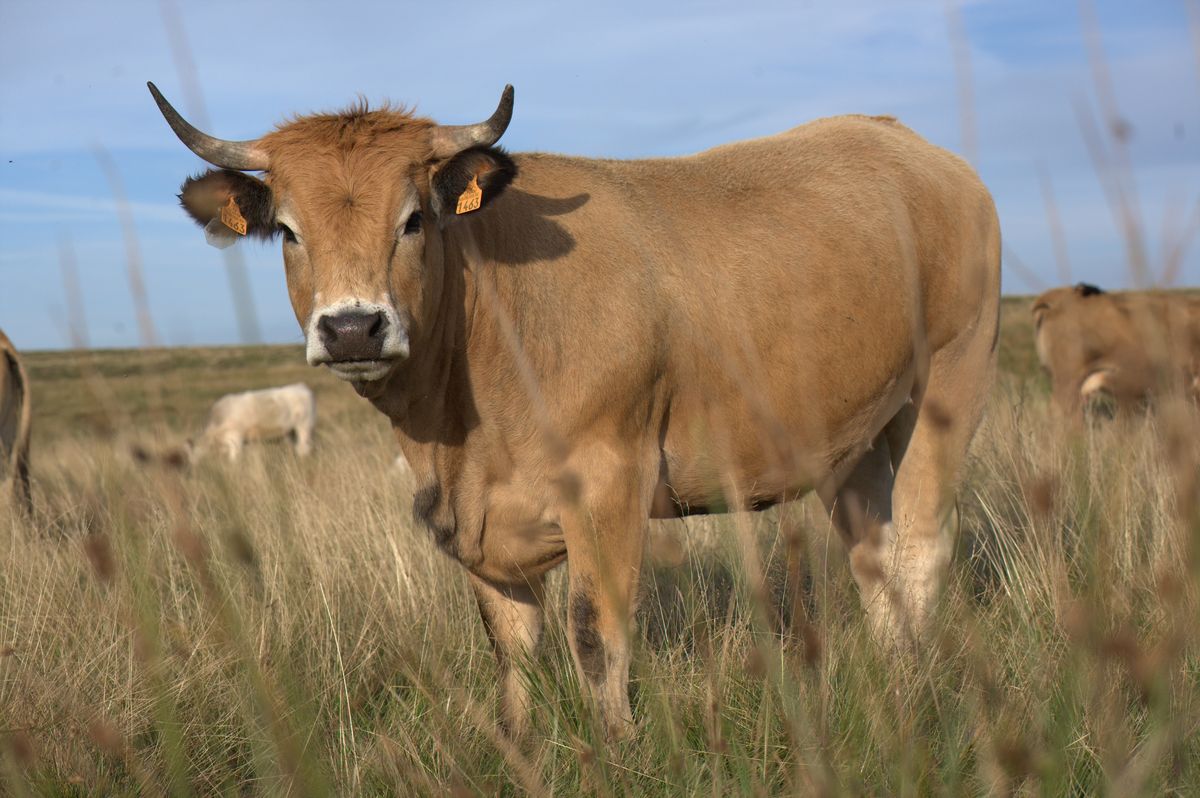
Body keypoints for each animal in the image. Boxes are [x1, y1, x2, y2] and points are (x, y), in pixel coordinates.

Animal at [150, 82, 1001, 739]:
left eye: (414, 218)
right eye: (288, 230)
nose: (354, 326)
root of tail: (904, 142)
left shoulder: (608, 481)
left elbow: (596, 635)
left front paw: (619, 748)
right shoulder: (478, 521)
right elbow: (512, 651)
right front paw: (523, 745)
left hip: (951, 379)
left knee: (921, 545)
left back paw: (915, 696)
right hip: (849, 436)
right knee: (873, 557)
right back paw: (895, 677)